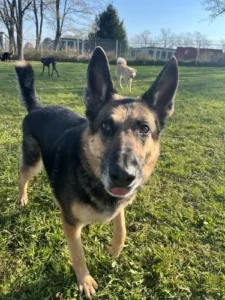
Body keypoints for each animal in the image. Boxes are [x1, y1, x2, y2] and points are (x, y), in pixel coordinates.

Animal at [14, 47, 178, 298]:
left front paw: (114, 249)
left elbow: (121, 227)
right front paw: (85, 281)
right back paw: (22, 197)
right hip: (33, 161)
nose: (123, 176)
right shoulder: (71, 225)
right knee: (22, 175)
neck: (89, 171)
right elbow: (78, 253)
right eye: (105, 126)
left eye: (144, 128)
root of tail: (38, 107)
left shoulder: (118, 203)